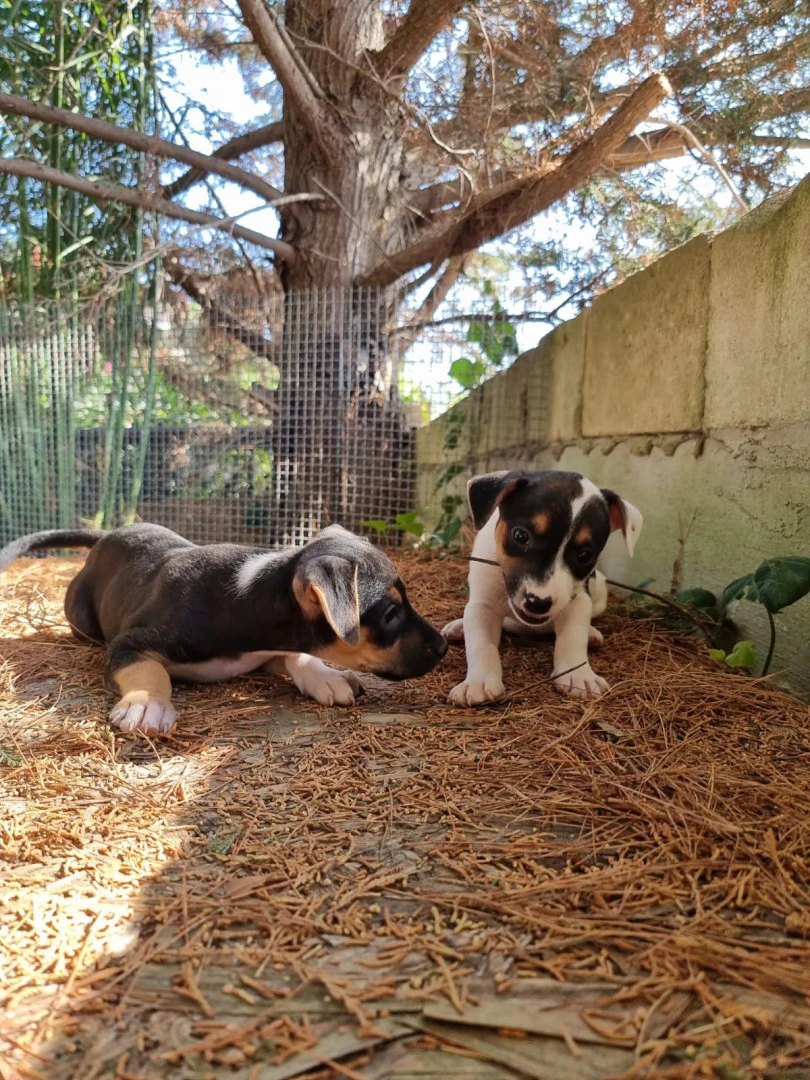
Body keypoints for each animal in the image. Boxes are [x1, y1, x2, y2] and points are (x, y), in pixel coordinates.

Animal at [0, 520, 451, 734]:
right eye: (390, 614)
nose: (444, 647)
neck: (246, 595)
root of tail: (107, 535)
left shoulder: (263, 651)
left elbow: (299, 656)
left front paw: (328, 676)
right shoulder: (128, 644)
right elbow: (151, 668)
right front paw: (148, 704)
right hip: (81, 617)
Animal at [440, 468, 643, 704]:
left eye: (585, 555)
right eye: (520, 536)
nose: (538, 603)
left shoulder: (578, 600)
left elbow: (573, 637)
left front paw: (578, 675)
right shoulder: (482, 605)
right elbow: (482, 644)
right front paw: (479, 681)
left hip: (600, 590)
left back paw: (591, 633)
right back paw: (459, 627)